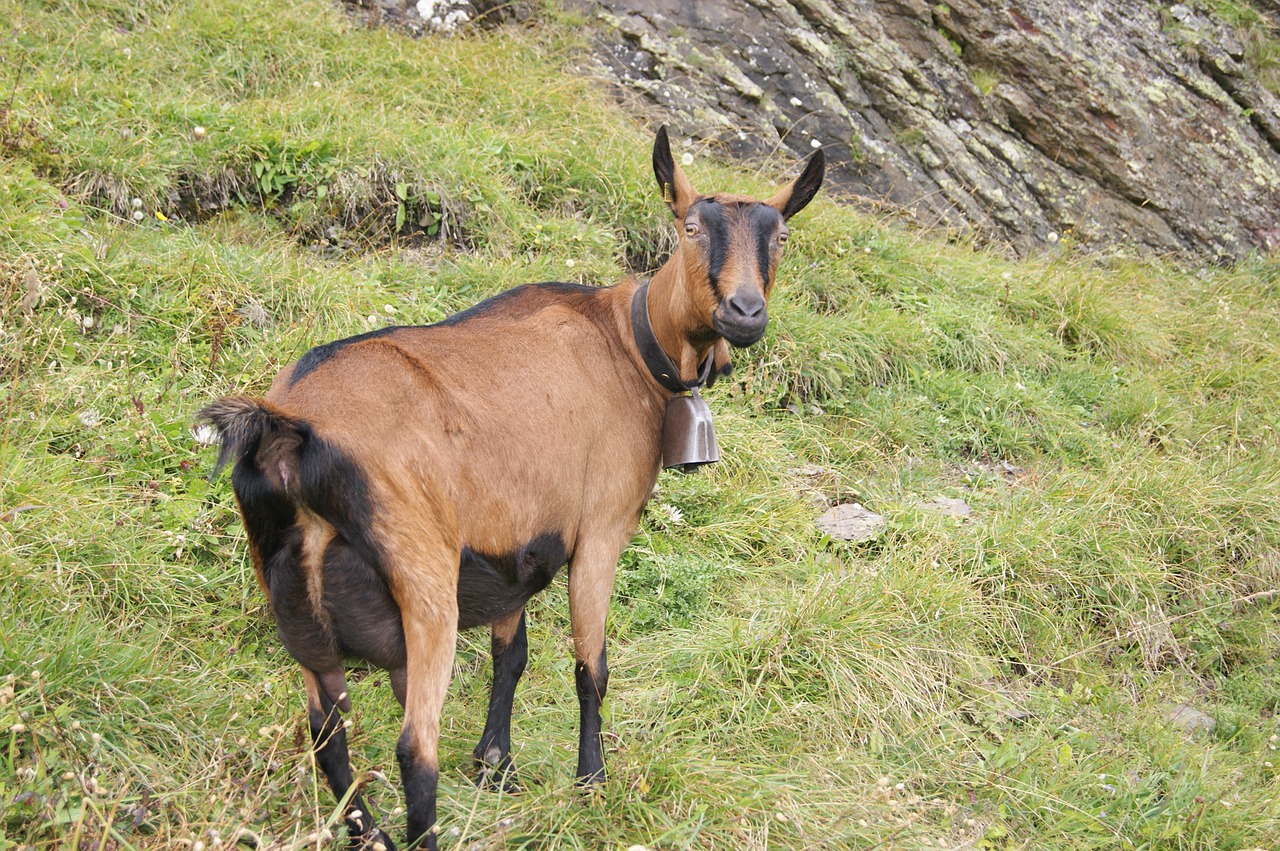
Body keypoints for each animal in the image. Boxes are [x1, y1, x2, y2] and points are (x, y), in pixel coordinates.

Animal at [197, 127, 819, 849]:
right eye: (690, 227)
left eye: (781, 236)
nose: (745, 313)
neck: (626, 344)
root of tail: (288, 432)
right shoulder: (601, 528)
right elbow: (591, 666)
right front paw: (590, 783)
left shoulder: (514, 548)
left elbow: (510, 654)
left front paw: (496, 765)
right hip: (424, 583)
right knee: (414, 748)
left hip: (299, 607)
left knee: (328, 735)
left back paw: (371, 834)